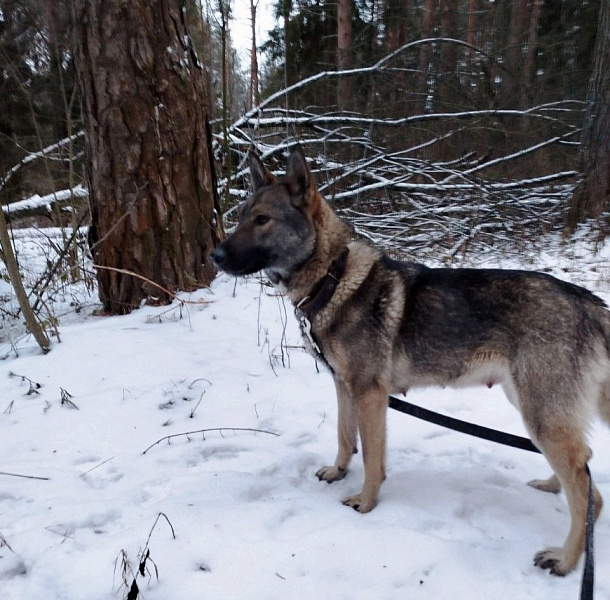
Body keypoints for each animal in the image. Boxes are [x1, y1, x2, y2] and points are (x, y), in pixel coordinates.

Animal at [210, 145, 608, 576]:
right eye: (241, 216)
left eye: (262, 220)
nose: (214, 255)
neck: (332, 278)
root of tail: (589, 302)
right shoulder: (344, 386)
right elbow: (344, 437)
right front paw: (337, 471)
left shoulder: (370, 394)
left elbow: (372, 458)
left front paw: (365, 503)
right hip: (531, 406)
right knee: (581, 464)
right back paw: (552, 487)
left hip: (539, 412)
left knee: (588, 491)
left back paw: (566, 559)